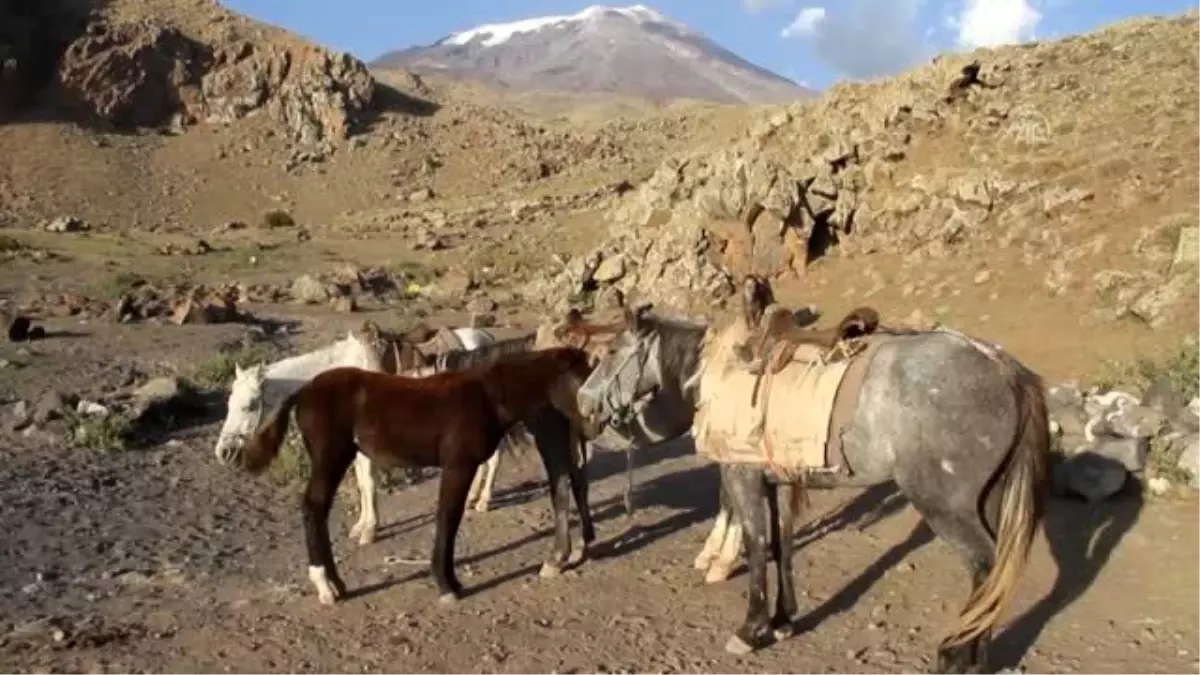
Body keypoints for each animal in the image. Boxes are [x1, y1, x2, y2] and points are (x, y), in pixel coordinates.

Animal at [211, 324, 501, 542]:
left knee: (494, 459)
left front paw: (370, 530)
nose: (223, 452)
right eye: (228, 404)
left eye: (249, 405)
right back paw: (473, 497)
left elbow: (368, 482)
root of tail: (486, 338)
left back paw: (483, 501)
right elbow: (363, 482)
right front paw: (363, 526)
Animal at [231, 343, 597, 600]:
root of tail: (303, 391)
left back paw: (336, 583)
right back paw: (326, 587)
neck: (487, 395)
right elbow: (448, 518)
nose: (593, 422)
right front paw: (447, 585)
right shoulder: (458, 466)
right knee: (313, 507)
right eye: (582, 378)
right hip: (331, 457)